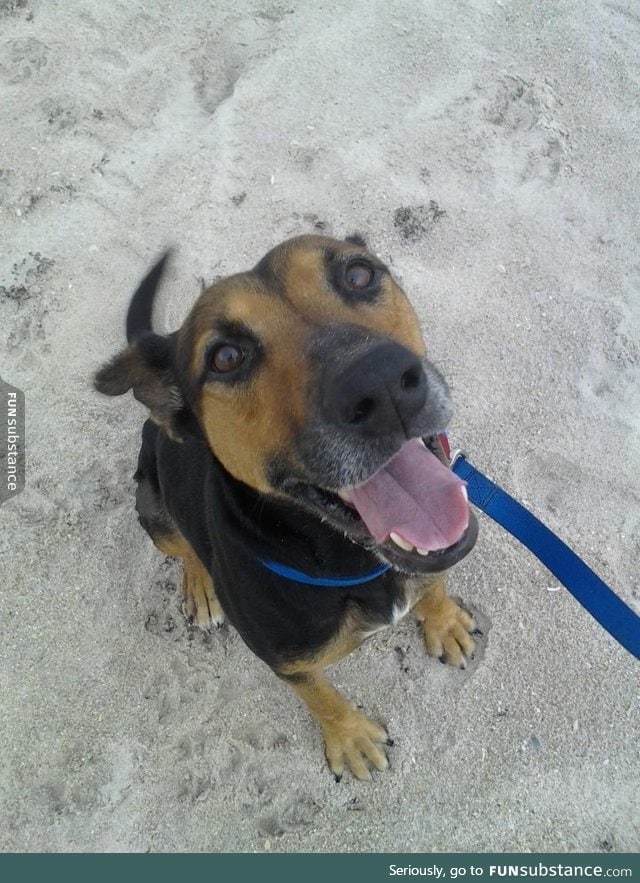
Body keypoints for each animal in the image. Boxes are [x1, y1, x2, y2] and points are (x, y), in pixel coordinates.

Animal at [94, 235, 476, 780]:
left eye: (359, 275)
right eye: (226, 357)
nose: (381, 382)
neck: (351, 559)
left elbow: (435, 583)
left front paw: (443, 621)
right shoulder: (286, 661)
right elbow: (320, 696)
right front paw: (350, 737)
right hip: (153, 507)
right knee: (183, 547)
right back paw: (200, 587)